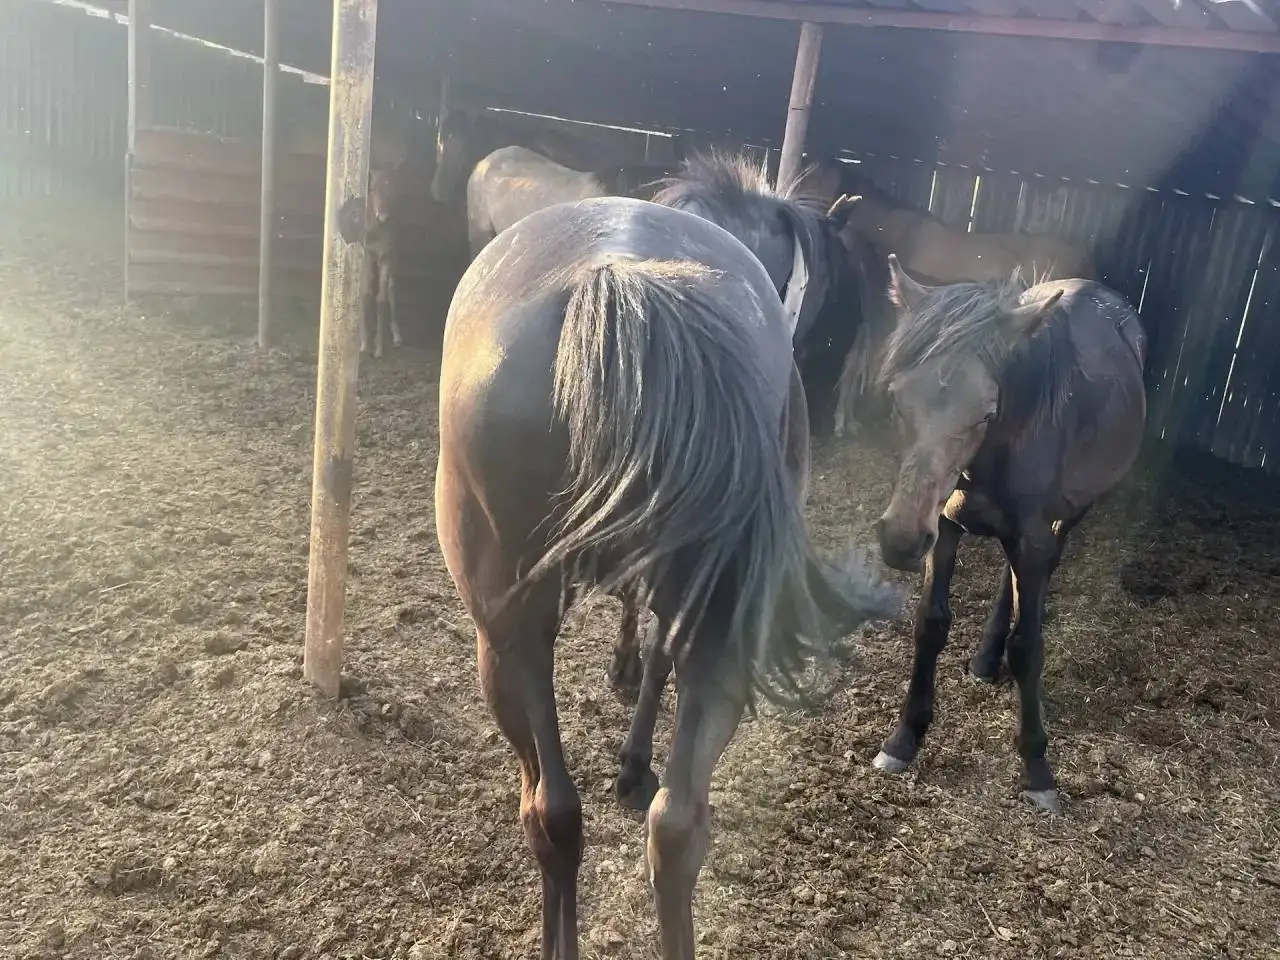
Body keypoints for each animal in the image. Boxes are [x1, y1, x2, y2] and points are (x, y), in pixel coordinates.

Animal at [435, 195, 902, 960]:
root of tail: (621, 278)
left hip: (504, 638)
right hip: (714, 628)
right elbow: (656, 650)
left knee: (551, 812)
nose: (848, 395)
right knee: (672, 824)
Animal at [869, 255, 1147, 814]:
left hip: (1069, 514)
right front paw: (905, 737)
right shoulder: (943, 525)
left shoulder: (1031, 537)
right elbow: (930, 624)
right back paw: (984, 657)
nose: (900, 539)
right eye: (897, 401)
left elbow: (1029, 646)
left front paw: (1037, 766)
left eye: (987, 412)